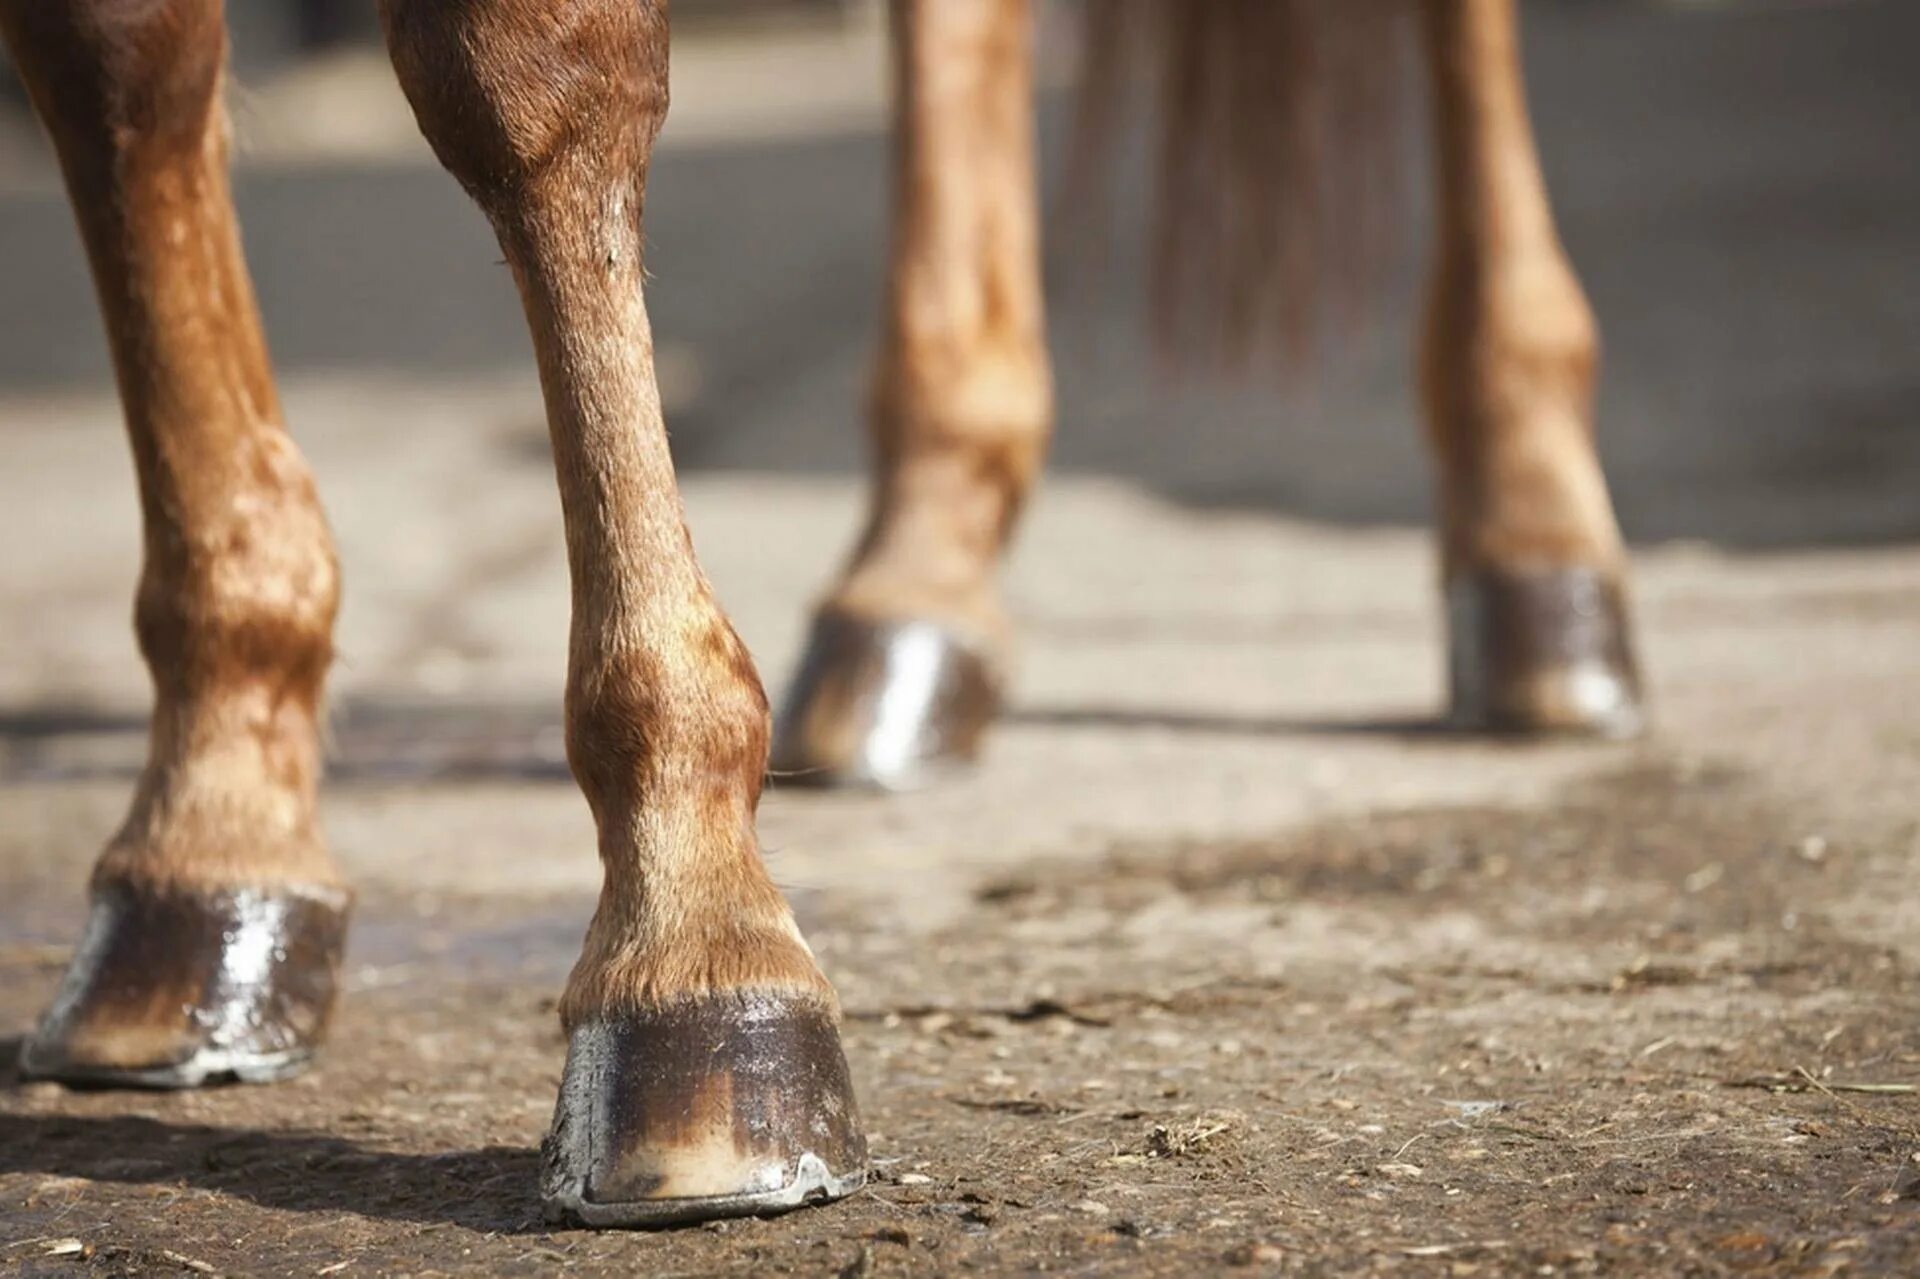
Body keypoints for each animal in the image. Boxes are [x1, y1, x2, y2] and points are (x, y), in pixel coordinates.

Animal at [3, 0, 1635, 1229]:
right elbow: (115, 56)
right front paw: (213, 839)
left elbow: (519, 60)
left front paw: (692, 935)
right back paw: (918, 583)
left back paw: (1540, 550)